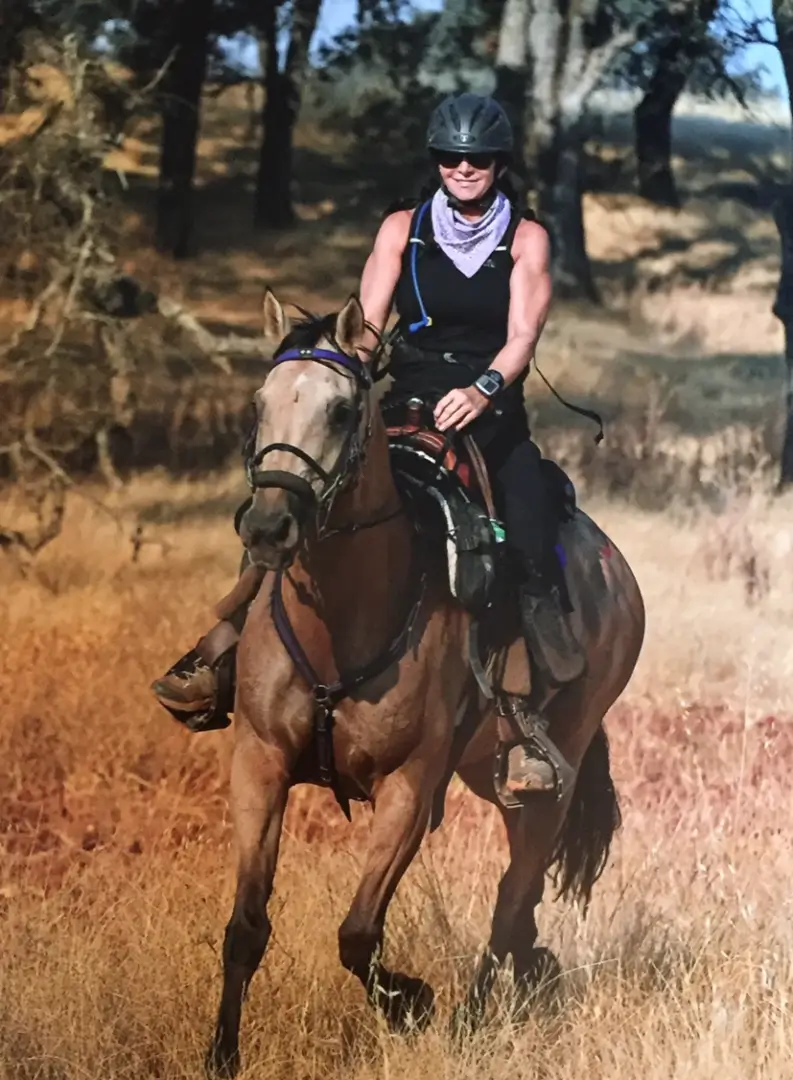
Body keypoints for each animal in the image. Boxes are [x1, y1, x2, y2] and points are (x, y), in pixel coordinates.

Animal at [208, 291, 648, 1075]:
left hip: (552, 771)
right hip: (489, 773)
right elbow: (247, 926)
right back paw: (530, 974)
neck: (341, 619)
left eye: (342, 411)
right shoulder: (258, 764)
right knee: (521, 900)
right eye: (260, 403)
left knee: (513, 897)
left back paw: (478, 1017)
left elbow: (358, 932)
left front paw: (410, 1004)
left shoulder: (409, 787)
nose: (267, 526)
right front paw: (221, 1054)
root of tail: (616, 570)